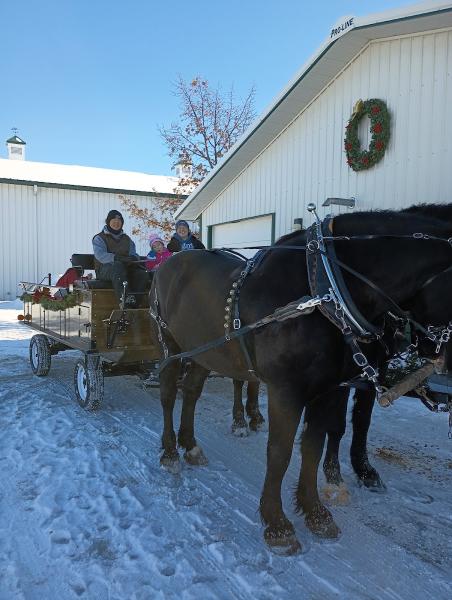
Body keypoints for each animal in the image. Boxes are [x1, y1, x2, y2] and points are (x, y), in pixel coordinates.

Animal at [150, 205, 452, 552]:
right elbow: (280, 452)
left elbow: (314, 446)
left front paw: (315, 512)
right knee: (168, 394)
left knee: (191, 392)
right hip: (170, 345)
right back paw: (170, 451)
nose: (436, 354)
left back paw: (190, 445)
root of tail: (167, 264)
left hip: (205, 352)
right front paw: (277, 523)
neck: (324, 292)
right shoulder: (286, 391)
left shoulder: (329, 389)